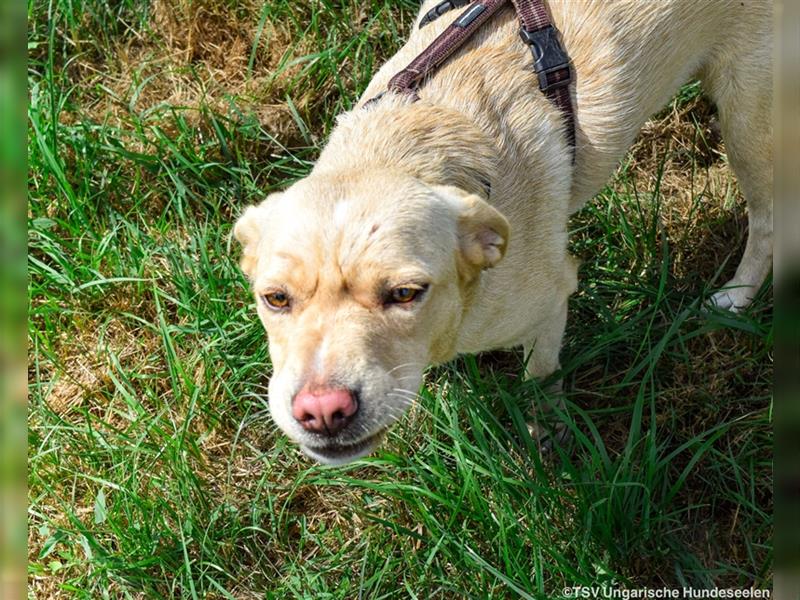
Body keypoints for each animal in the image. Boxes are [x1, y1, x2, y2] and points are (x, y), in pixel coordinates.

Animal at [234, 0, 772, 464]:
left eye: (406, 293)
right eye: (274, 299)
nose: (322, 411)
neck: (400, 145)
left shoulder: (550, 302)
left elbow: (541, 376)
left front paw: (547, 430)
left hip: (748, 119)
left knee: (768, 222)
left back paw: (734, 297)